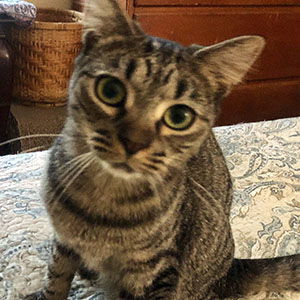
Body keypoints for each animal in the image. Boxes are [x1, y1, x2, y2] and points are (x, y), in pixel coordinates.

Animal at [24, 0, 300, 300]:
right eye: (110, 90)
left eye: (179, 117)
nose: (133, 142)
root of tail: (229, 272)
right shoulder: (64, 243)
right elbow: (56, 279)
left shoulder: (157, 270)